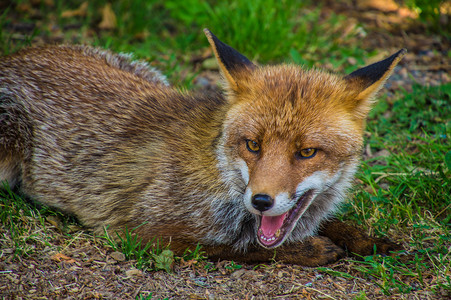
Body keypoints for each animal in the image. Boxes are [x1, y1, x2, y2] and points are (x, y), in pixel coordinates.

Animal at [0, 29, 408, 266]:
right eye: (253, 145)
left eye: (306, 152)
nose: (261, 201)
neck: (221, 176)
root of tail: (16, 56)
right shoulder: (140, 231)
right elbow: (241, 245)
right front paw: (311, 249)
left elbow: (331, 223)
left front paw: (367, 239)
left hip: (149, 73)